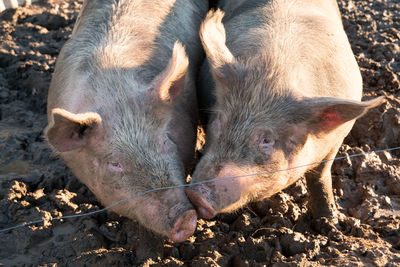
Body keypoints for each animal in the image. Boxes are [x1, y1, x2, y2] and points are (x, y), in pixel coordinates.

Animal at [187, 0, 384, 226]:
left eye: (267, 140)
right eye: (219, 120)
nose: (196, 195)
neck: (274, 70)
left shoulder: (337, 140)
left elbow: (320, 176)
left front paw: (329, 223)